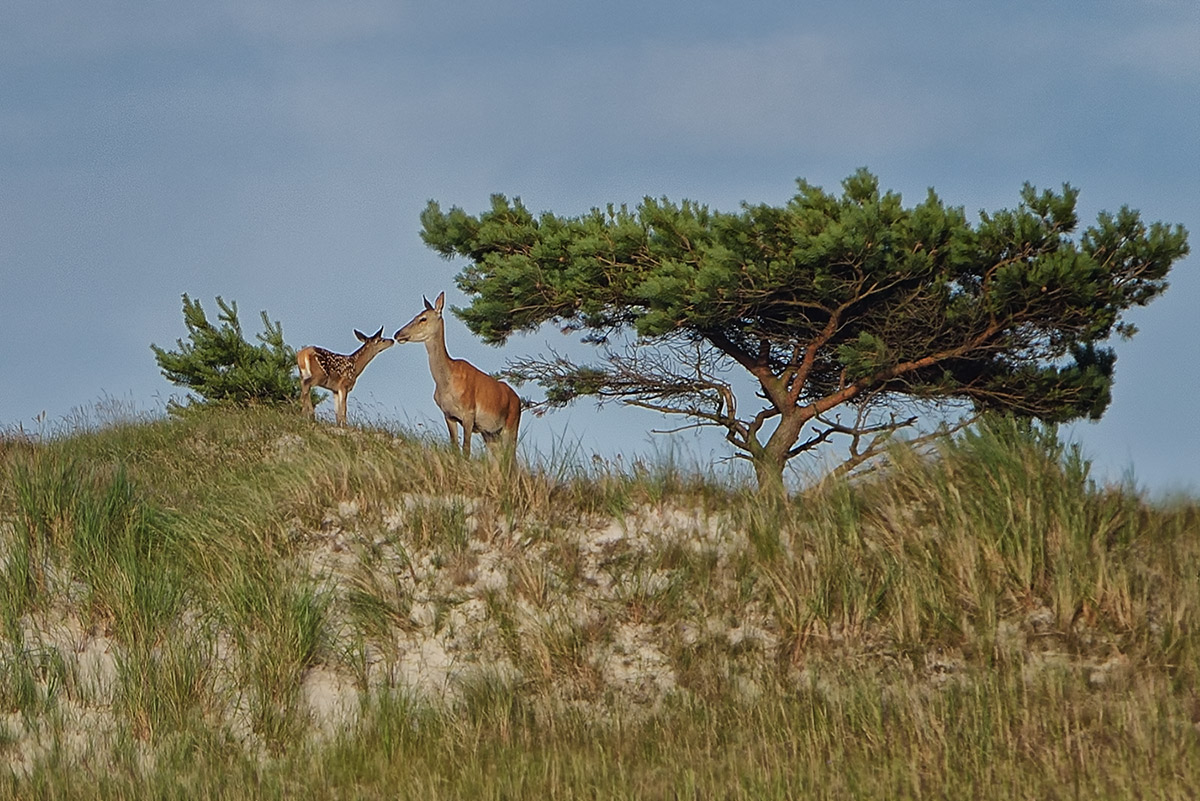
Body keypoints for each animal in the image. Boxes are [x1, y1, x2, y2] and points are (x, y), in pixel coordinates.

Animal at [396, 292, 523, 455]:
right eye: (416, 316)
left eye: (423, 318)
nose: (398, 334)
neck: (446, 383)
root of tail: (518, 400)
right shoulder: (449, 415)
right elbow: (455, 447)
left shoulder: (469, 413)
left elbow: (466, 450)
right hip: (490, 433)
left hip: (511, 425)